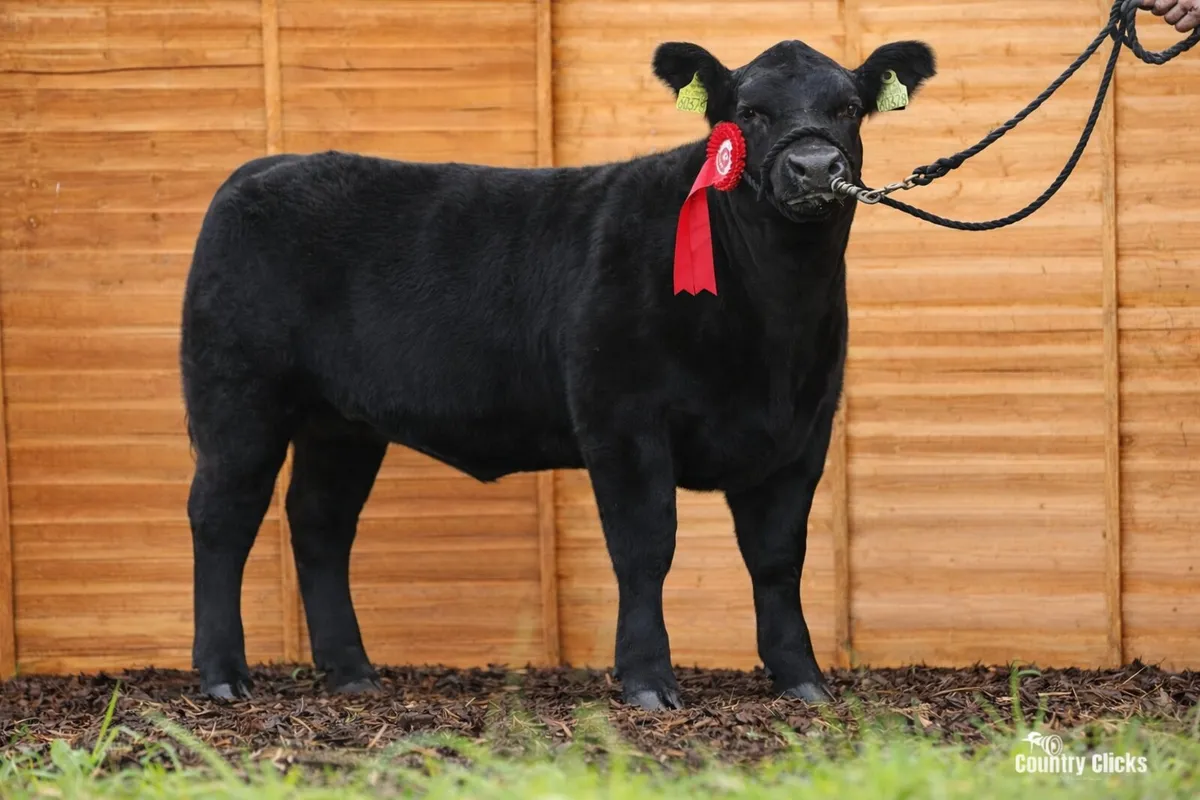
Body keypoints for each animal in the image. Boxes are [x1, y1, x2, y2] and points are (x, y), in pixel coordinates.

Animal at [180, 36, 936, 711]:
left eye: (847, 107)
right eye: (748, 111)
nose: (812, 165)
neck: (774, 322)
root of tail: (269, 166)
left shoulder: (803, 428)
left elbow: (778, 558)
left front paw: (802, 680)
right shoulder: (622, 417)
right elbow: (645, 547)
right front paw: (648, 683)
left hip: (341, 422)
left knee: (320, 523)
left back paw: (352, 674)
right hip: (237, 396)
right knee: (223, 516)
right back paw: (223, 676)